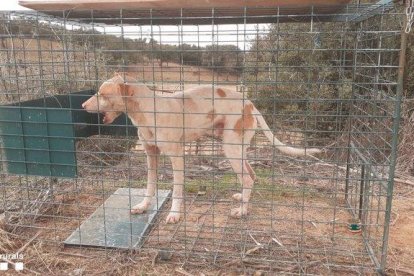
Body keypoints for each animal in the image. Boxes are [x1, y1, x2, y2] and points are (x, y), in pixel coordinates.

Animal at [81, 74, 320, 224]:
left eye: (103, 94)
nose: (82, 106)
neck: (150, 111)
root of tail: (249, 103)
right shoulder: (151, 155)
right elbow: (150, 185)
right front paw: (143, 206)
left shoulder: (177, 157)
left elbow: (177, 190)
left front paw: (175, 214)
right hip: (237, 149)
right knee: (251, 175)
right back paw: (241, 199)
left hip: (231, 149)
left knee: (248, 178)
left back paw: (242, 211)